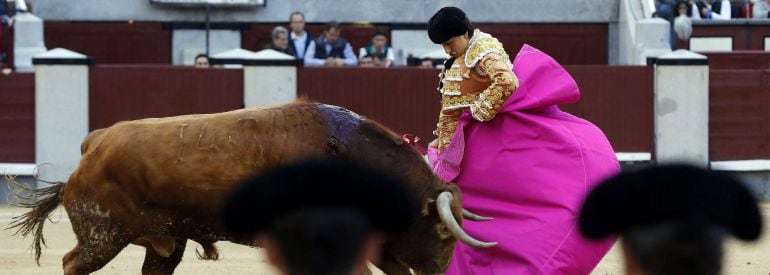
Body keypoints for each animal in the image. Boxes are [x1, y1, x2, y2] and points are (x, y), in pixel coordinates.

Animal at [9, 102, 496, 274]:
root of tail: (94, 143)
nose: (439, 274)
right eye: (443, 231)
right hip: (103, 235)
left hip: (167, 240)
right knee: (72, 263)